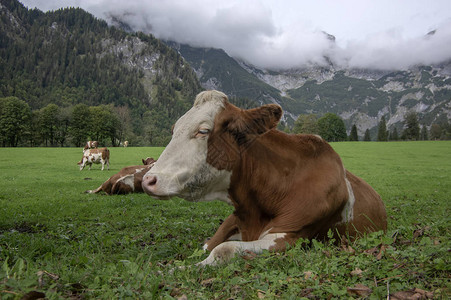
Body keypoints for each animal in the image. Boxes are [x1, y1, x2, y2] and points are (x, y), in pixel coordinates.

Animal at [142, 90, 388, 266]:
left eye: (203, 131)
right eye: (174, 129)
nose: (148, 180)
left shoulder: (291, 235)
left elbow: (223, 249)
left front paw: (184, 268)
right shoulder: (237, 218)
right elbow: (209, 244)